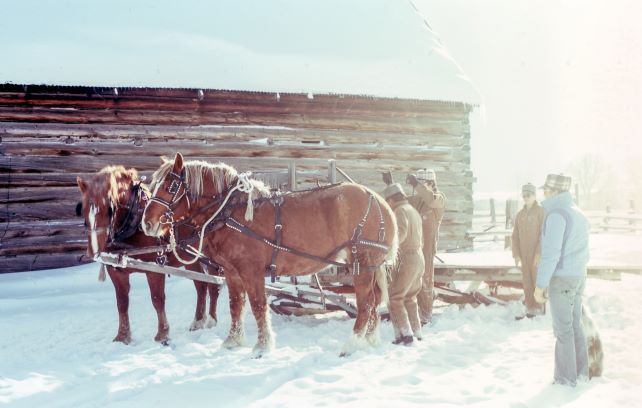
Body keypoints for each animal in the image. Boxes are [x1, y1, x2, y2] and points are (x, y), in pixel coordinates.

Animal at [76, 165, 221, 345]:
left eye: (110, 209)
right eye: (82, 209)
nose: (94, 251)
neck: (133, 224)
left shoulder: (155, 268)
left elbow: (157, 299)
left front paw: (162, 334)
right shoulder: (116, 271)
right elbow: (122, 302)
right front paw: (122, 336)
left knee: (214, 287)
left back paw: (211, 321)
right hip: (190, 259)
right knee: (201, 286)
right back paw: (198, 322)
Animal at [141, 152, 398, 356]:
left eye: (170, 187)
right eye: (152, 185)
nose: (147, 223)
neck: (230, 212)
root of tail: (377, 200)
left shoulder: (251, 271)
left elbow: (257, 305)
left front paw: (262, 347)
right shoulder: (232, 272)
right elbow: (236, 305)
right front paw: (232, 341)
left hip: (361, 262)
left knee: (366, 304)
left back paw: (352, 344)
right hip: (370, 265)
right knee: (375, 302)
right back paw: (370, 341)